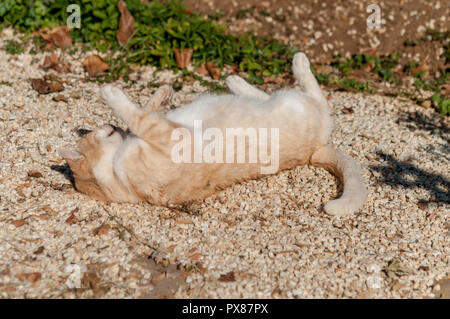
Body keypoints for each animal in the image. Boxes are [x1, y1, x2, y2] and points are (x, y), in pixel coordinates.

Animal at [59, 53, 366, 218]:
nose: (113, 127)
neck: (114, 169)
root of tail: (317, 149)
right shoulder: (165, 134)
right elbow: (137, 115)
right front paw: (110, 93)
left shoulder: (158, 128)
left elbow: (143, 111)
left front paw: (161, 94)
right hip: (302, 107)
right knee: (317, 95)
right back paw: (294, 63)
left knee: (275, 94)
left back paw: (236, 81)